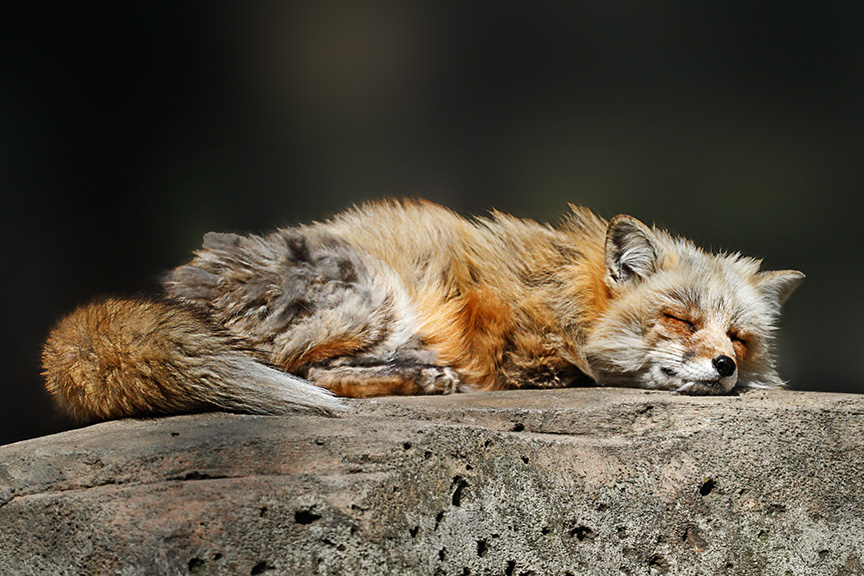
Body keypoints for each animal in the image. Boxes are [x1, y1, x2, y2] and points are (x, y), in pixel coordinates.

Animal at [42, 199, 804, 422]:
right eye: (680, 320)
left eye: (740, 336)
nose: (725, 365)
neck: (565, 291)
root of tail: (184, 291)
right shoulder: (533, 357)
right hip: (373, 292)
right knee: (308, 376)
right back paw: (422, 377)